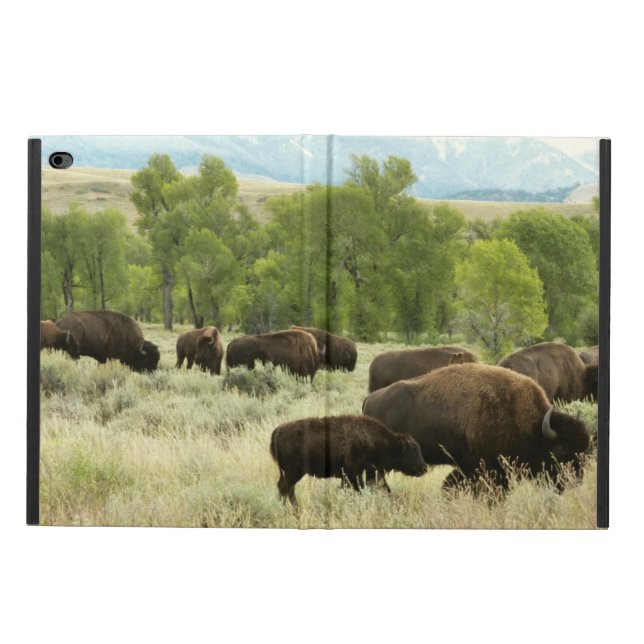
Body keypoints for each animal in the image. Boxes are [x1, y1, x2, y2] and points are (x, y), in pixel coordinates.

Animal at [269, 415, 428, 504]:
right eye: (412, 451)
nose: (424, 468)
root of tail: (278, 430)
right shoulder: (353, 473)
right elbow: (359, 489)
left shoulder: (358, 474)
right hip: (293, 472)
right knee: (286, 488)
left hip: (289, 473)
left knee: (284, 488)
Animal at [362, 363, 590, 490]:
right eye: (559, 451)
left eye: (583, 451)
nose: (575, 481)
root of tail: (369, 399)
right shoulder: (486, 467)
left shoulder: (470, 466)